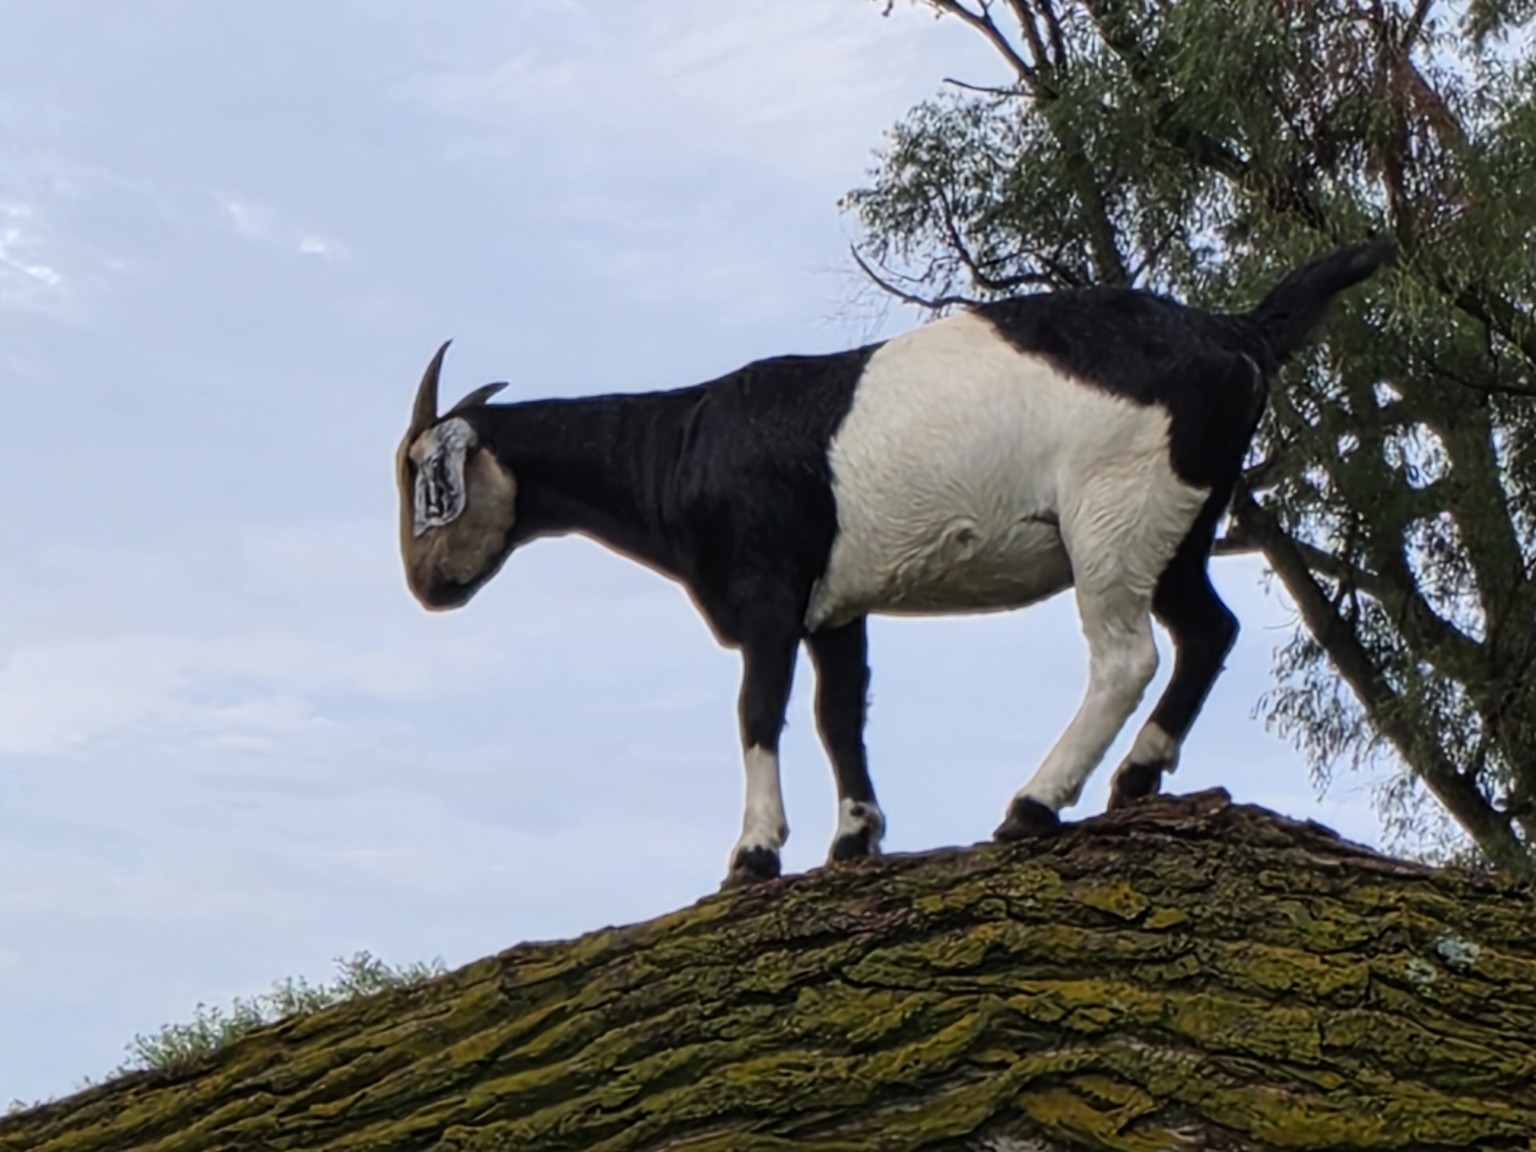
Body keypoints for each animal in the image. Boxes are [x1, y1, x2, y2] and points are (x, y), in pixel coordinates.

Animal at [395, 239, 1394, 889]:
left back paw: (1035, 804)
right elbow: (841, 714)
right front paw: (855, 838)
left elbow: (758, 708)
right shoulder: (836, 605)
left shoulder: (769, 588)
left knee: (1128, 655)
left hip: (1114, 507)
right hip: (1184, 516)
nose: (425, 587)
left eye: (423, 480)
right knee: (1208, 629)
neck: (680, 444)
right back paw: (1137, 777)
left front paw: (753, 856)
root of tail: (1238, 334)